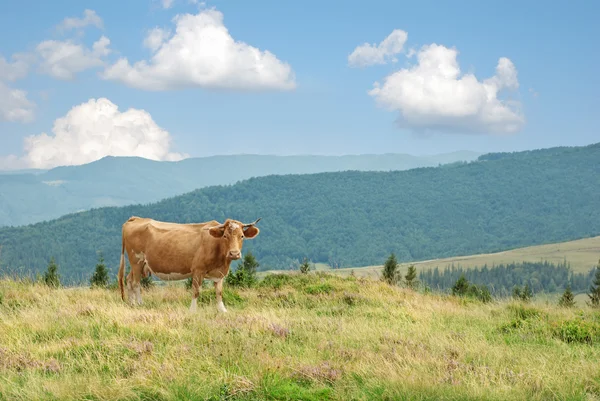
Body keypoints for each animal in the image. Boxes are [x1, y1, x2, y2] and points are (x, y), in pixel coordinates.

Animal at [117, 216, 260, 312]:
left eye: (242, 236)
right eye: (225, 236)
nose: (234, 253)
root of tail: (136, 218)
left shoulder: (219, 273)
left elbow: (219, 292)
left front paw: (222, 310)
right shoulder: (198, 269)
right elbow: (196, 291)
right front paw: (193, 311)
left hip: (139, 264)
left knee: (129, 280)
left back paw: (131, 304)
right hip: (136, 260)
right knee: (136, 283)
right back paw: (139, 304)